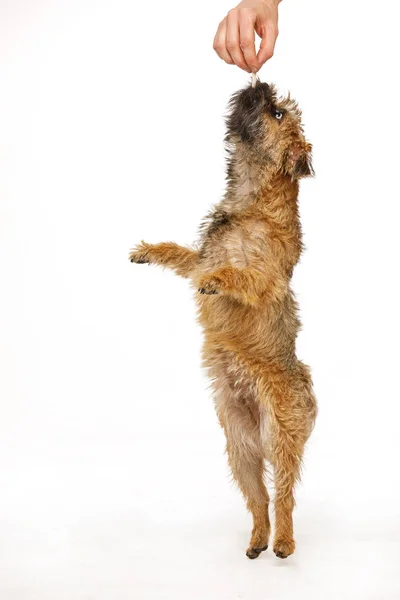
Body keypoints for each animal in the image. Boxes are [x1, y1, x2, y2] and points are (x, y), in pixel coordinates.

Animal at [130, 82, 318, 560]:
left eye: (276, 113)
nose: (260, 83)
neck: (250, 202)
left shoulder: (264, 279)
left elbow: (239, 275)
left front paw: (217, 280)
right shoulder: (198, 256)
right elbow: (181, 255)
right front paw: (148, 250)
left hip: (280, 436)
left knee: (284, 495)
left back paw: (283, 542)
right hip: (240, 450)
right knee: (259, 499)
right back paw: (257, 540)